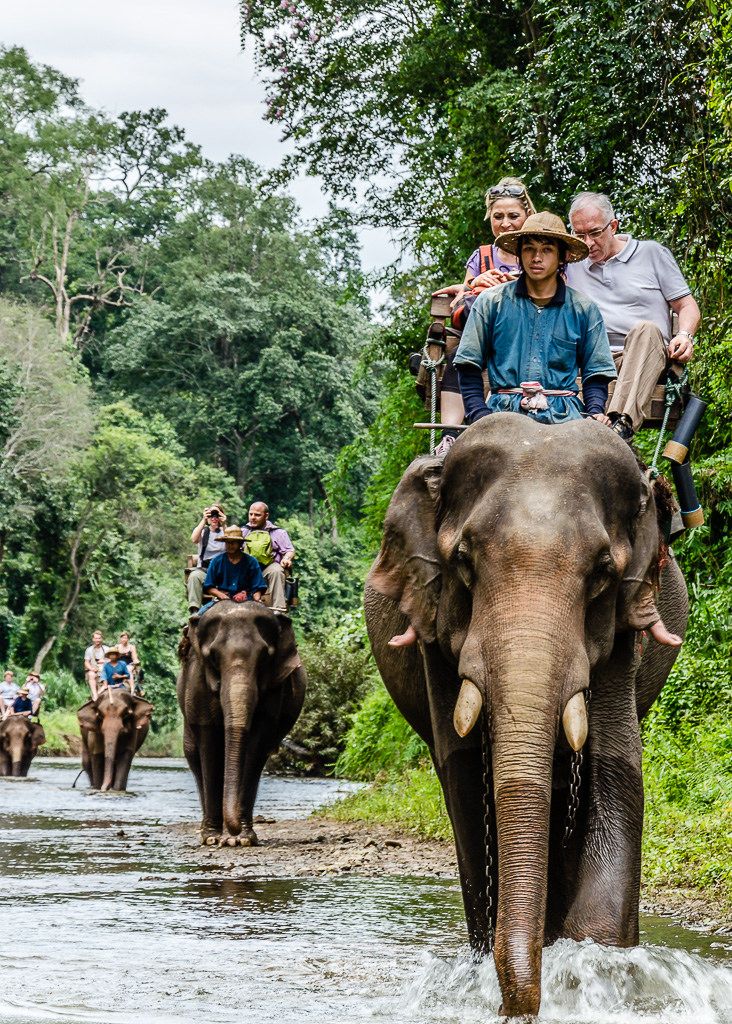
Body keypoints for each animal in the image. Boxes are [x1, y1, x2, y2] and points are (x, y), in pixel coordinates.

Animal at [177, 602, 306, 847]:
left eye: (264, 657)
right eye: (213, 656)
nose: (233, 833)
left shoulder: (274, 689)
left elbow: (256, 743)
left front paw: (243, 839)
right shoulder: (198, 680)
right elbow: (209, 741)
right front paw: (212, 838)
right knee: (193, 754)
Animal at [364, 412, 688, 1018]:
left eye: (603, 572)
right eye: (463, 561)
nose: (519, 1009)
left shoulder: (622, 634)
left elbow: (616, 768)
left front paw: (594, 967)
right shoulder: (433, 628)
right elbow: (466, 775)